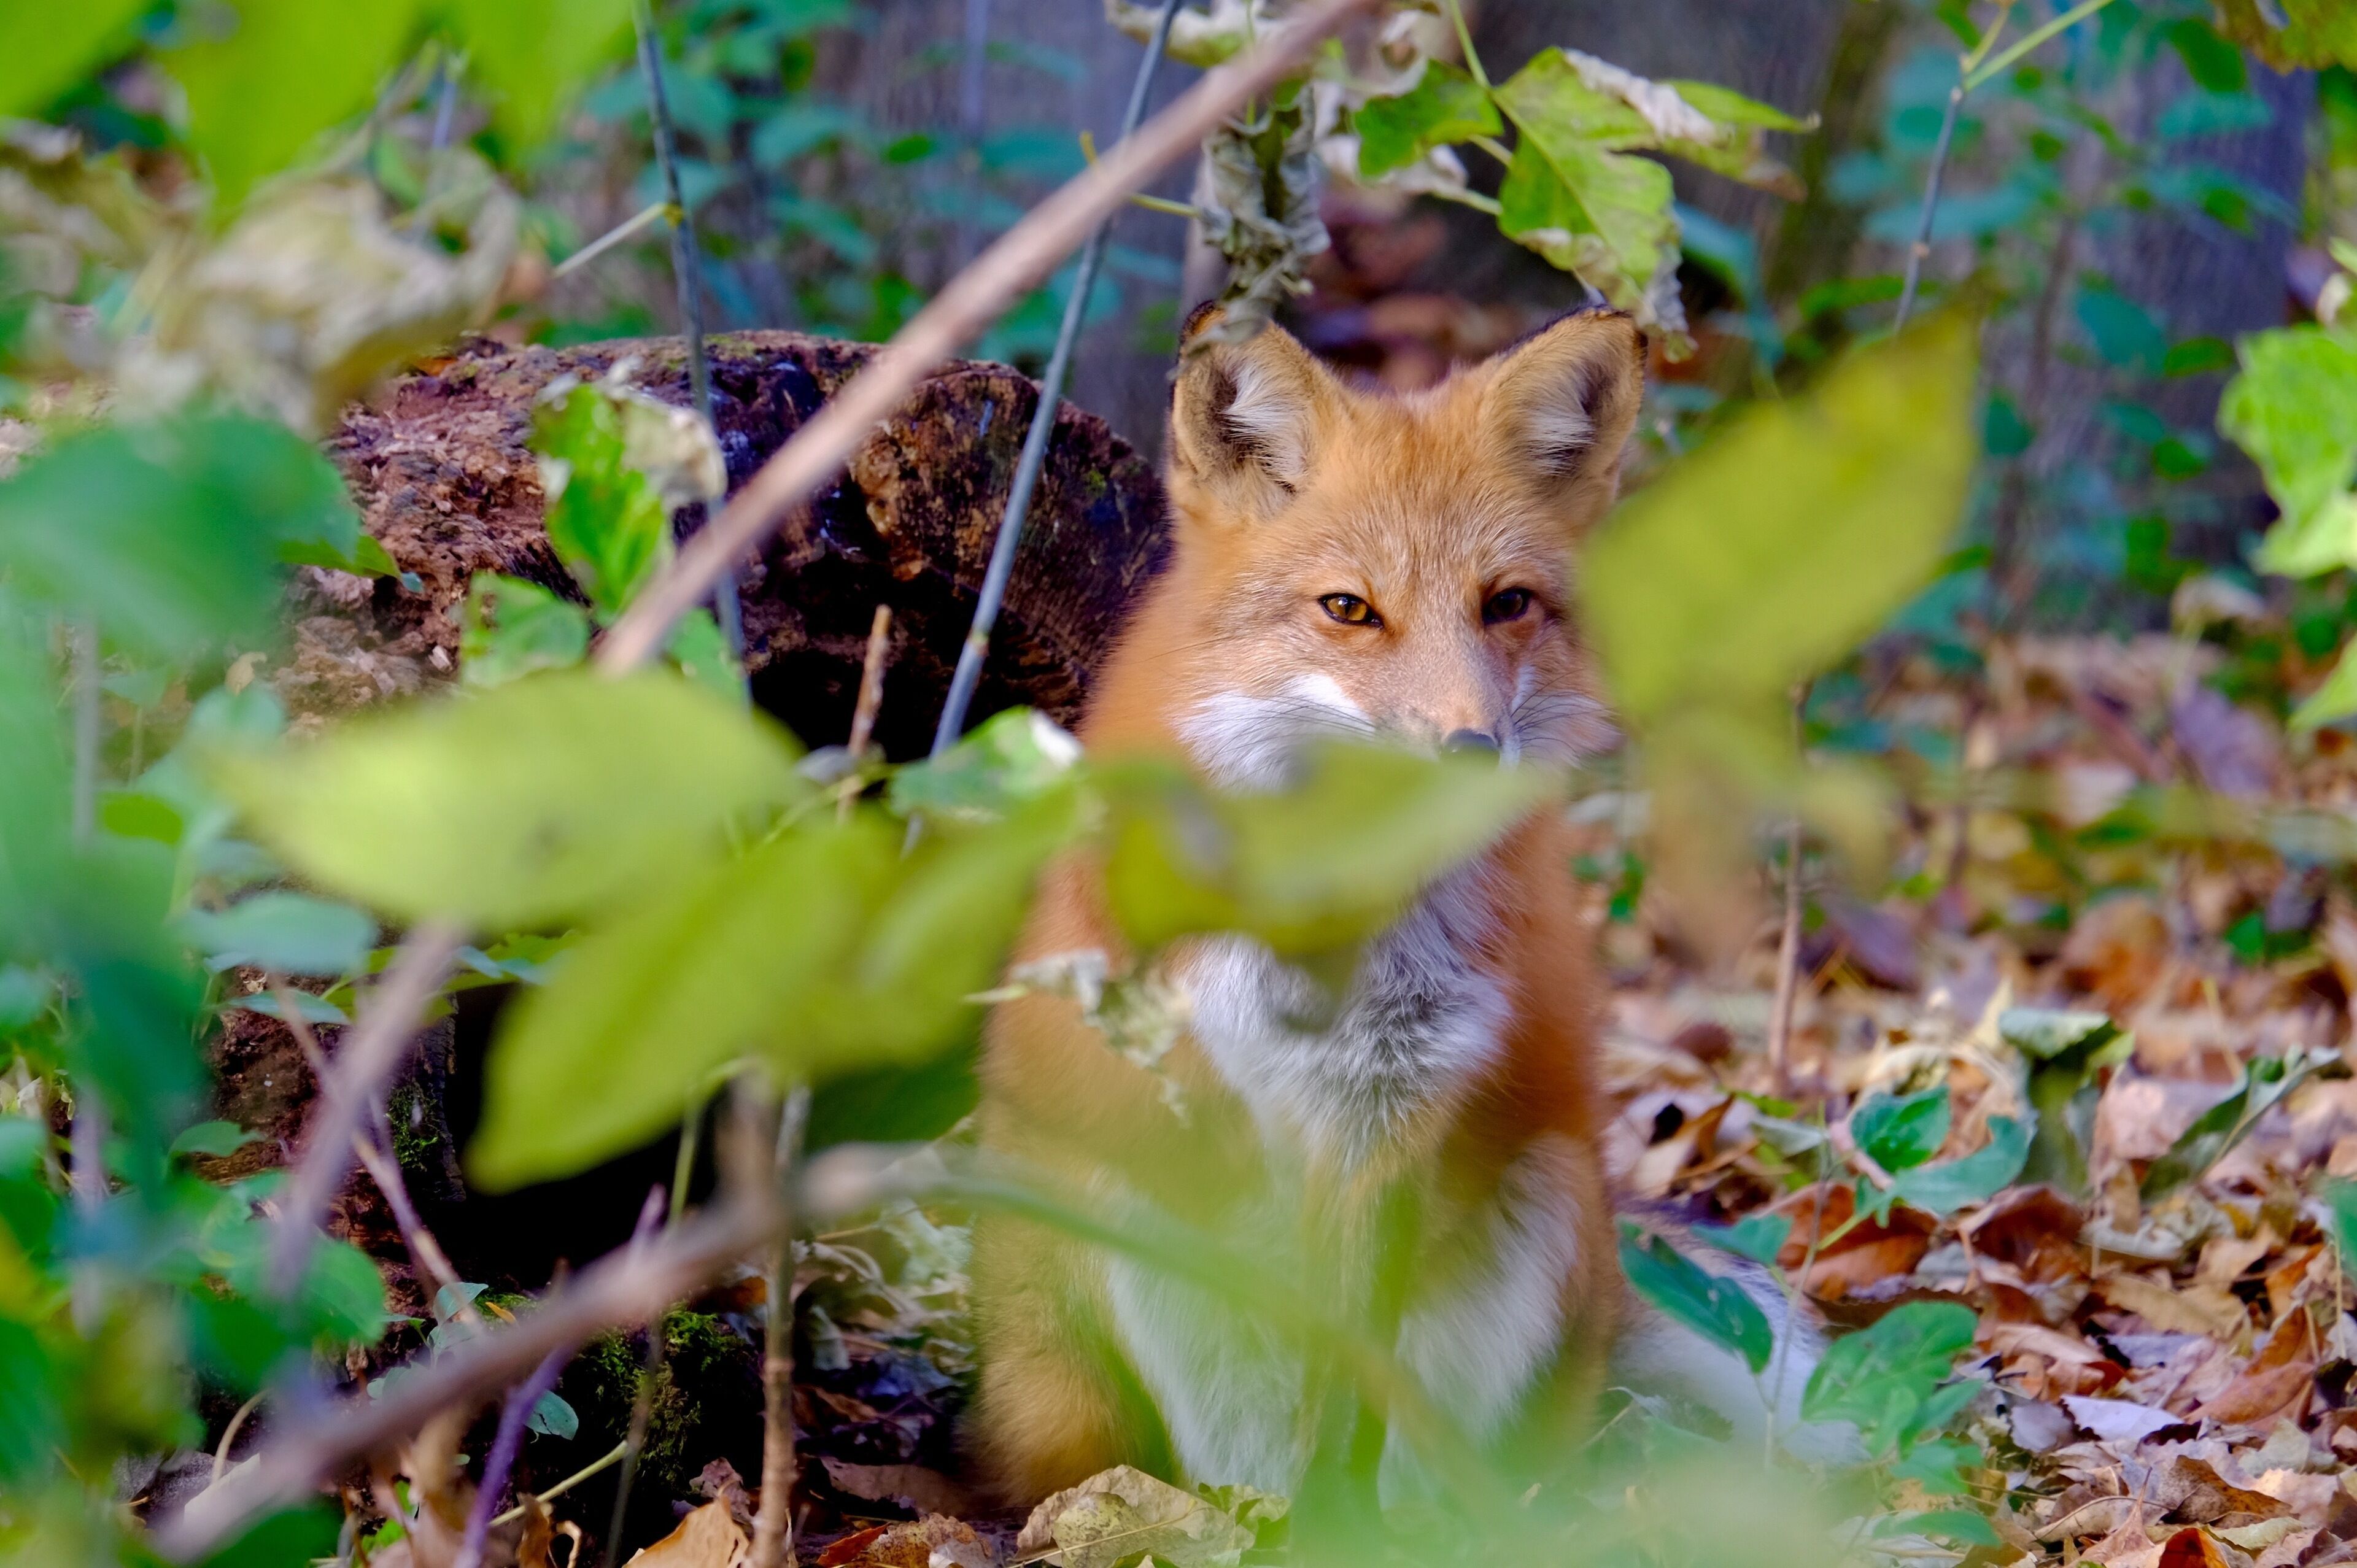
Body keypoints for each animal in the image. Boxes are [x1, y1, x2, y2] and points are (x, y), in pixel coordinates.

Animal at [967, 304, 1819, 1507]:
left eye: (1506, 604)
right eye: (1350, 610)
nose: (1469, 747)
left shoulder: (1393, 1118)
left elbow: (1351, 1379)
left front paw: (1333, 1528)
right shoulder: (1183, 1096)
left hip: (1553, 1190)